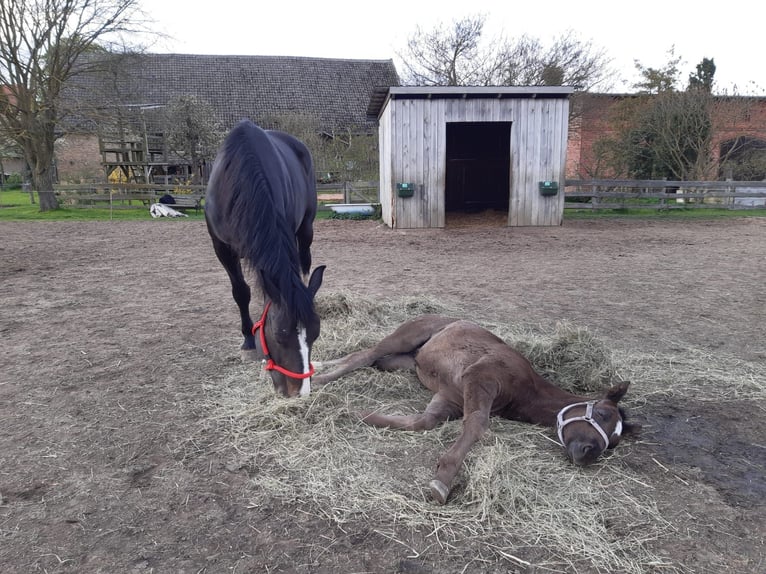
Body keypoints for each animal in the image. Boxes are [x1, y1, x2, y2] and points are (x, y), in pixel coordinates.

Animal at [314, 318, 640, 506]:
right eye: (603, 414)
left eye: (614, 442)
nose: (587, 454)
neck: (525, 389)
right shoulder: (480, 379)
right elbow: (477, 425)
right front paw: (442, 481)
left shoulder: (450, 397)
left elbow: (422, 422)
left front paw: (352, 413)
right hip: (404, 337)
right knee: (363, 356)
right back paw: (316, 381)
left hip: (404, 360)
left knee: (373, 361)